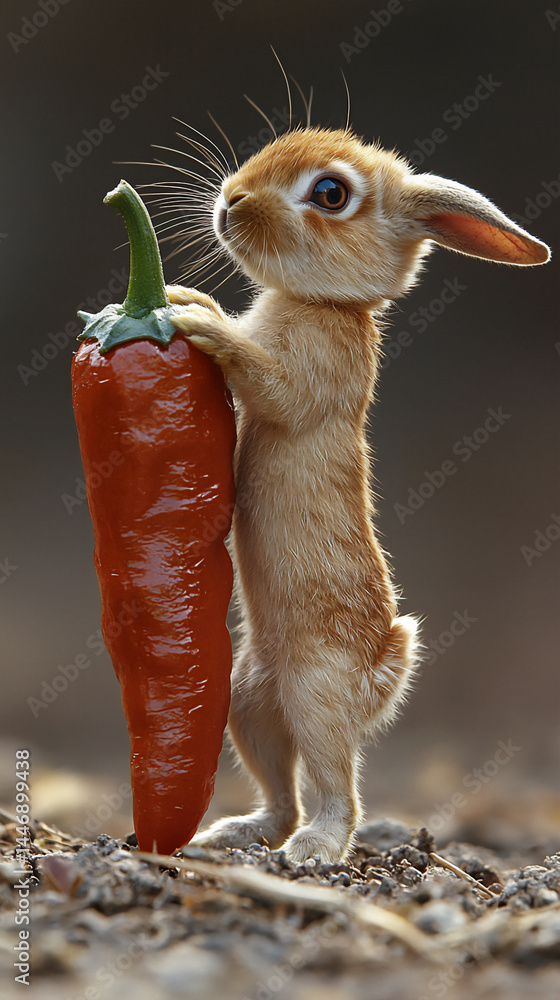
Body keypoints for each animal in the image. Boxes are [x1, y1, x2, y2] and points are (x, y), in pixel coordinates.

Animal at [165, 125, 550, 863]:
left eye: (329, 194)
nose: (232, 200)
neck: (322, 303)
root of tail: (384, 675)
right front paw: (185, 301)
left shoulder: (309, 378)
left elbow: (269, 385)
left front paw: (199, 317)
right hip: (247, 701)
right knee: (280, 788)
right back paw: (235, 833)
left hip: (316, 696)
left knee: (335, 789)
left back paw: (313, 849)